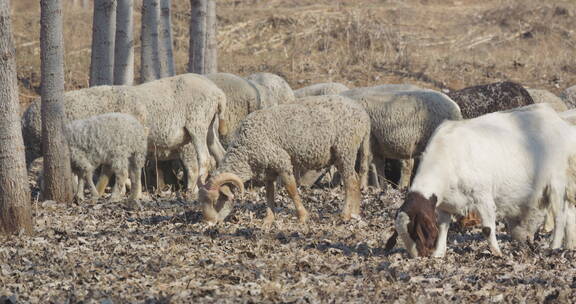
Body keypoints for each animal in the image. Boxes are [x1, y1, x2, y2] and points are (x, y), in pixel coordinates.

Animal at [392, 104, 576, 256]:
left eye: (415, 232)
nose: (418, 256)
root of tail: (557, 120)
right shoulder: (445, 204)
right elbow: (443, 226)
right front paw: (439, 253)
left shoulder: (483, 196)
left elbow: (487, 228)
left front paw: (497, 253)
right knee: (569, 214)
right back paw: (569, 246)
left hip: (557, 183)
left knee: (560, 217)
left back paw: (554, 246)